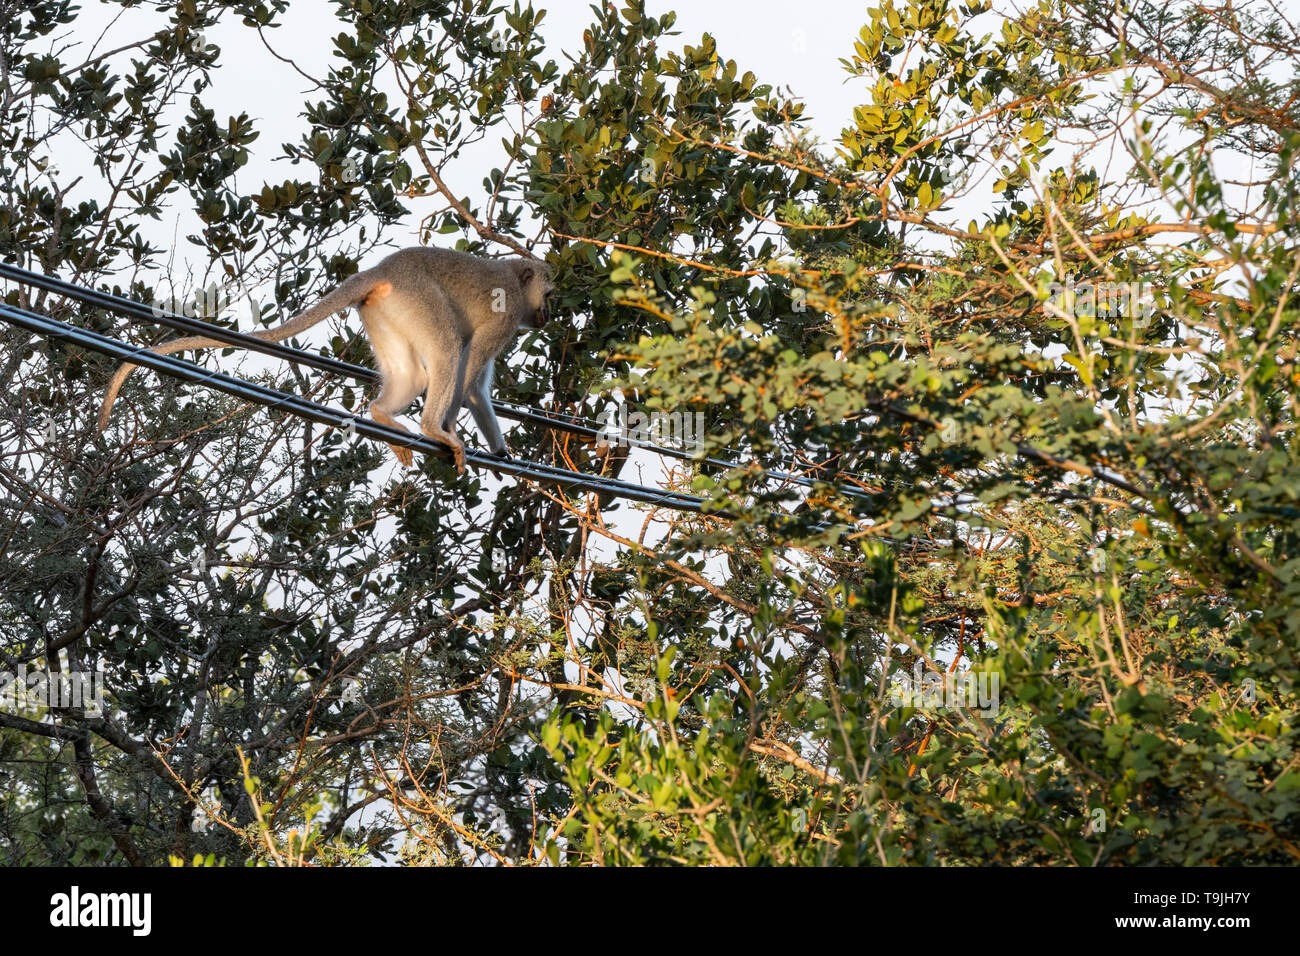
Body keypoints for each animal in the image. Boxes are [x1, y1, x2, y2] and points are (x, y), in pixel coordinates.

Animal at [96, 247, 553, 474]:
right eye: (548, 295)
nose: (548, 314)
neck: (515, 282)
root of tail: (382, 270)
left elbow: (475, 387)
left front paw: (500, 454)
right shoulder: (507, 316)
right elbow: (469, 371)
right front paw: (453, 429)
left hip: (385, 308)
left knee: (412, 375)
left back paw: (381, 414)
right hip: (417, 294)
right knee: (445, 349)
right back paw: (430, 427)